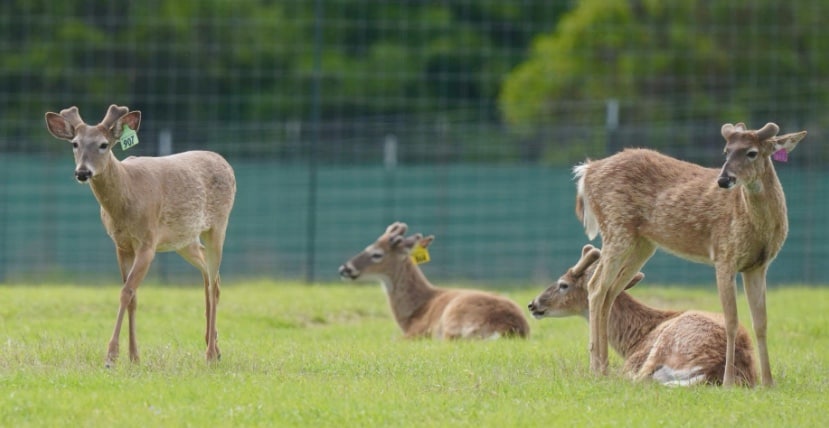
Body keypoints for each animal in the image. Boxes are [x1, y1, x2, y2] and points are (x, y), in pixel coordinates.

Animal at [44, 105, 236, 367]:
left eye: (104, 144)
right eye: (75, 143)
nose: (82, 172)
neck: (127, 192)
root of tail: (225, 162)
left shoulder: (147, 242)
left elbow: (126, 292)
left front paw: (111, 356)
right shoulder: (121, 244)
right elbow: (133, 295)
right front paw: (134, 356)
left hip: (218, 224)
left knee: (214, 282)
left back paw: (209, 354)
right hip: (184, 240)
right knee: (209, 276)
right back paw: (214, 347)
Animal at [338, 222, 530, 339]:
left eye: (376, 254)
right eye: (366, 247)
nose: (344, 268)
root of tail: (510, 329)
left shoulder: (417, 332)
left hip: (454, 317)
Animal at [529, 244, 757, 386]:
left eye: (563, 284)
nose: (532, 304)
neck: (635, 336)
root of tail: (712, 369)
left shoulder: (634, 359)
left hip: (665, 344)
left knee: (637, 379)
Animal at [572, 122, 806, 386]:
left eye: (752, 152)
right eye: (726, 151)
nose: (724, 180)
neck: (756, 225)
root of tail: (588, 170)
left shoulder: (758, 265)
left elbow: (761, 322)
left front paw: (768, 383)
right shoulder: (724, 255)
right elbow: (732, 320)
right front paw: (728, 382)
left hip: (641, 243)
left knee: (610, 291)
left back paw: (603, 368)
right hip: (616, 228)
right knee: (596, 286)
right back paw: (596, 367)